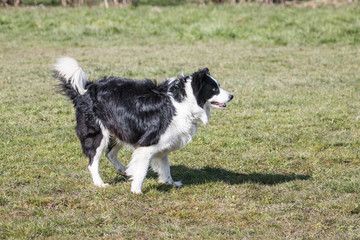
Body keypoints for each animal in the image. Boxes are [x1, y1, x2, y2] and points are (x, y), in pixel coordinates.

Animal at [53, 57, 233, 194]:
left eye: (218, 86)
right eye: (214, 89)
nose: (231, 96)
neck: (183, 101)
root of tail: (87, 88)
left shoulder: (162, 143)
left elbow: (166, 168)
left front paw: (170, 183)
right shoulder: (148, 143)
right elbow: (142, 169)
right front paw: (136, 190)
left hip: (122, 128)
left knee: (110, 153)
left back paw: (124, 171)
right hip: (98, 133)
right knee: (93, 161)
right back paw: (100, 183)